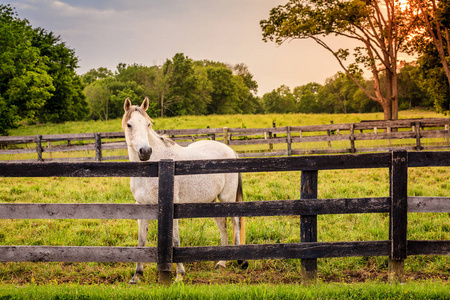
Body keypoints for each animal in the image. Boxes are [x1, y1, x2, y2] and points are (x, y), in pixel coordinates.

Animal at [122, 98, 246, 284]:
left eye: (148, 124)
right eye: (129, 124)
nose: (145, 151)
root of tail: (230, 150)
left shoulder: (171, 208)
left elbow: (175, 240)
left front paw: (179, 275)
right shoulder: (142, 207)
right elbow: (141, 241)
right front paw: (136, 276)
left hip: (227, 198)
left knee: (235, 223)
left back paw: (240, 260)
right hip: (212, 201)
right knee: (223, 225)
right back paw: (221, 263)